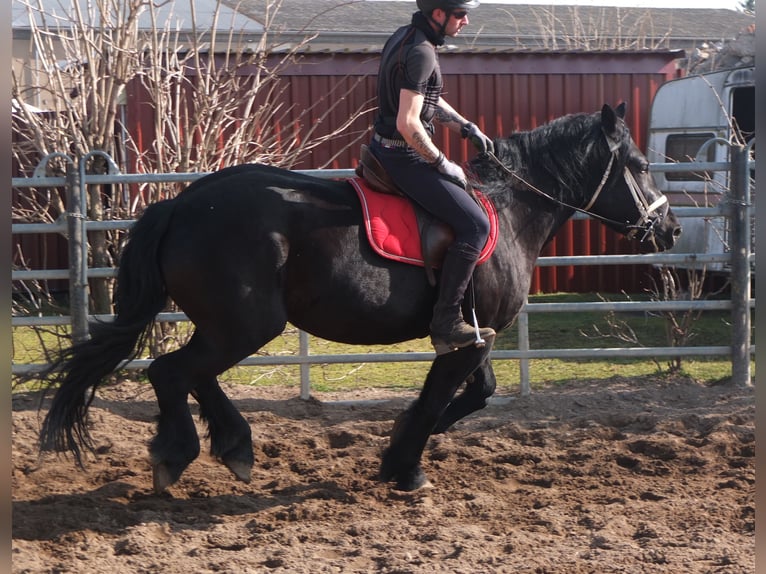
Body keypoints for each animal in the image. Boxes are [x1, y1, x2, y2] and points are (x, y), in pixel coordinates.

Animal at [39, 104, 680, 496]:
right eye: (640, 165)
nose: (669, 229)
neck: (509, 210)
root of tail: (181, 203)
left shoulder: (478, 335)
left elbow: (475, 395)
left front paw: (398, 447)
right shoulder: (465, 339)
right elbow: (438, 400)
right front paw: (405, 464)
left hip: (228, 324)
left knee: (193, 374)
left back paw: (233, 445)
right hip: (245, 324)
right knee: (172, 372)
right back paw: (179, 454)